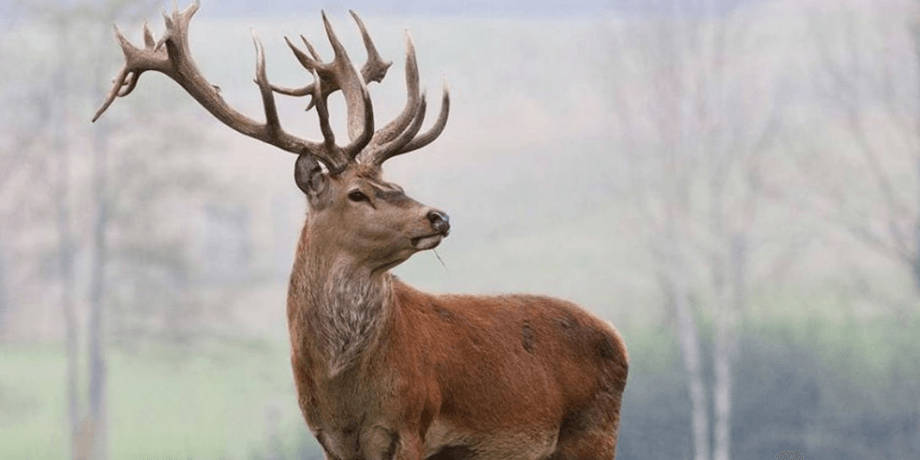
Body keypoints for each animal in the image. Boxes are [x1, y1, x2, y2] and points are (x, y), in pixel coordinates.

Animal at [93, 3, 628, 459]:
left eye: (395, 184)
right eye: (357, 193)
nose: (438, 217)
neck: (345, 390)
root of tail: (618, 340)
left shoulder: (413, 424)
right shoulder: (328, 437)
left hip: (594, 430)